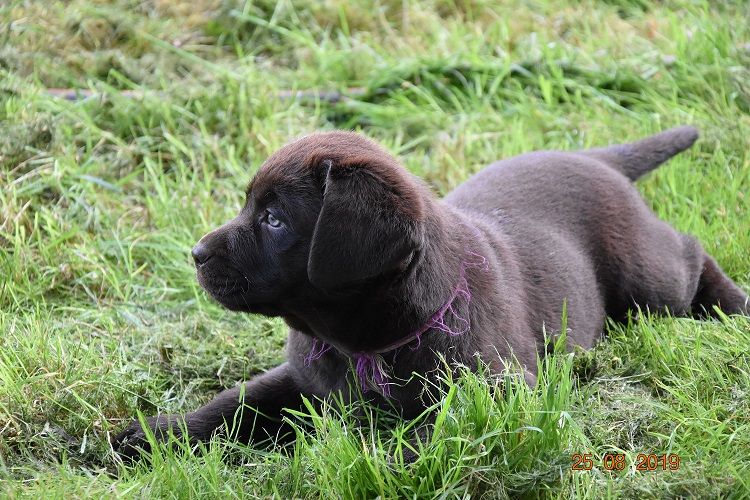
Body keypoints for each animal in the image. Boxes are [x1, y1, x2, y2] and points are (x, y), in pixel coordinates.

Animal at [114, 126, 749, 458]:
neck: (361, 346)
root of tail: (597, 158)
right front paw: (150, 435)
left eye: (272, 219)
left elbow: (420, 435)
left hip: (646, 279)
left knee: (690, 252)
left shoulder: (499, 391)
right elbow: (233, 404)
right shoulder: (301, 377)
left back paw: (735, 308)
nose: (195, 254)